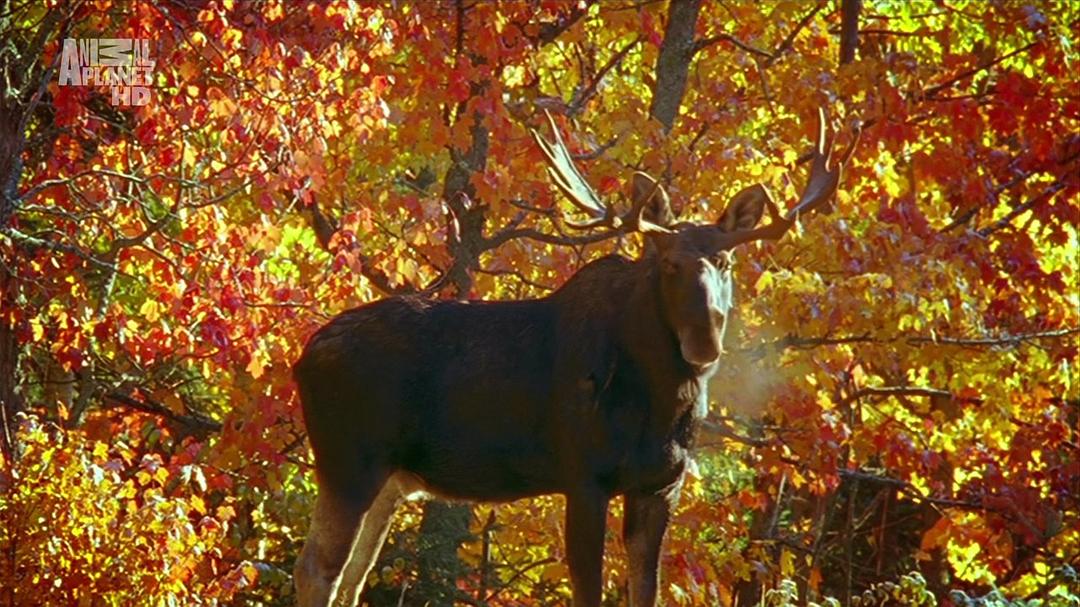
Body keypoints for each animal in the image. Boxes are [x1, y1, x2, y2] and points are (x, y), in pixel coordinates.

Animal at [293, 109, 851, 604]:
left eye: (725, 260)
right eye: (667, 262)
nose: (704, 337)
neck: (662, 403)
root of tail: (304, 357)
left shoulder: (660, 485)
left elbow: (644, 592)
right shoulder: (583, 475)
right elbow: (589, 591)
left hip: (392, 479)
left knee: (352, 576)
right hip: (349, 462)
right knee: (317, 569)